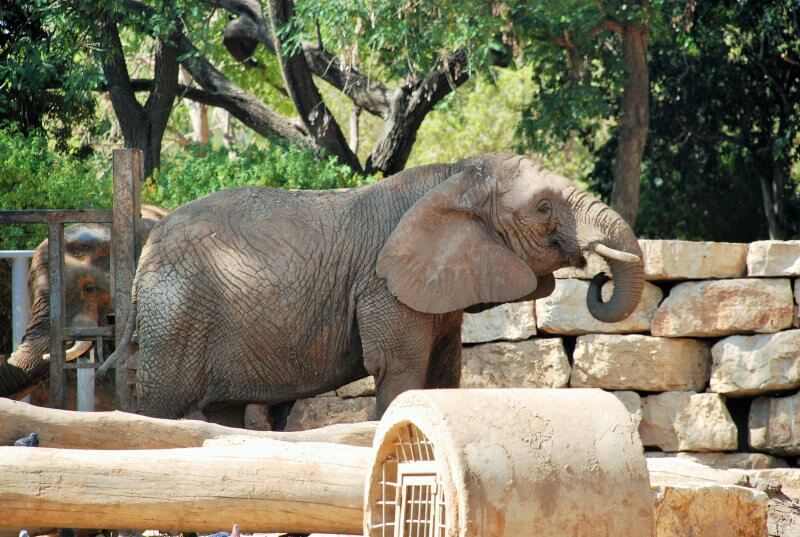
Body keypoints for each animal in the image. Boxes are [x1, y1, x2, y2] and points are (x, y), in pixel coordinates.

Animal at [108, 153, 644, 420]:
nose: (598, 276)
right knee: (160, 411)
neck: (454, 175)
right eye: (543, 207)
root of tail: (145, 249)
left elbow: (443, 376)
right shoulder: (383, 288)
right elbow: (400, 369)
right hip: (176, 314)